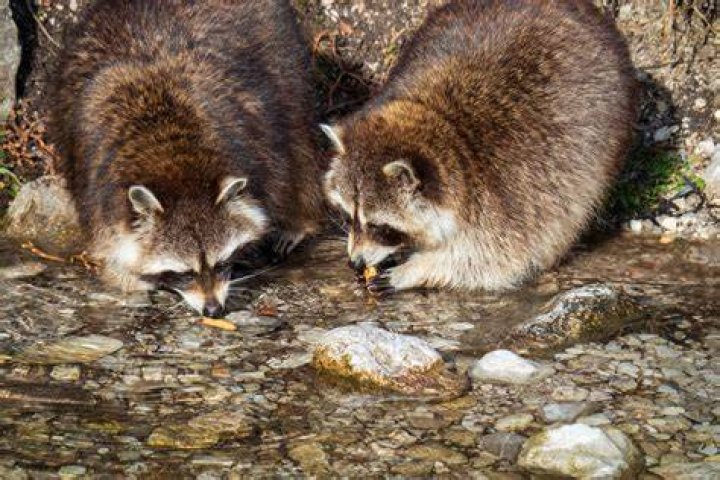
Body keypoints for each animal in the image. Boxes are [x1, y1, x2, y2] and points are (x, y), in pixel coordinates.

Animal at [48, 0, 324, 317]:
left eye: (221, 263)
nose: (213, 310)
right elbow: (107, 235)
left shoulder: (255, 145)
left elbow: (277, 174)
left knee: (297, 142)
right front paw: (127, 275)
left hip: (283, 62)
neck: (174, 158)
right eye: (184, 273)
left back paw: (299, 220)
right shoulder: (95, 184)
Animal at [323, 0, 637, 295]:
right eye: (348, 215)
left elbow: (493, 260)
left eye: (381, 227)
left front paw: (414, 269)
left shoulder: (505, 197)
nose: (354, 262)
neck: (441, 124)